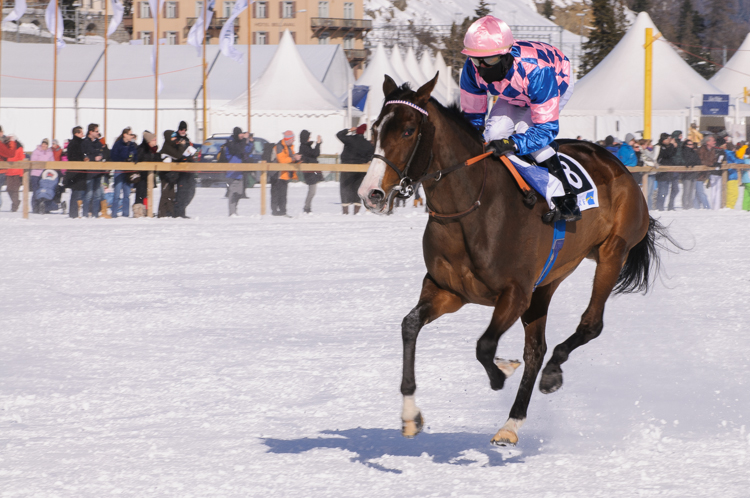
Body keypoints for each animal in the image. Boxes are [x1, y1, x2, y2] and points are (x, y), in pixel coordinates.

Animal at [358, 75, 676, 448]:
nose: (370, 193)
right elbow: (409, 326)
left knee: (589, 325)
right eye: (375, 128)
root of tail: (616, 164)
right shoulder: (447, 291)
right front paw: (410, 416)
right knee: (537, 349)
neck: (472, 207)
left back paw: (549, 377)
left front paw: (501, 372)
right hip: (548, 281)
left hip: (612, 251)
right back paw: (513, 421)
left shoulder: (515, 293)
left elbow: (484, 346)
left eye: (408, 130)